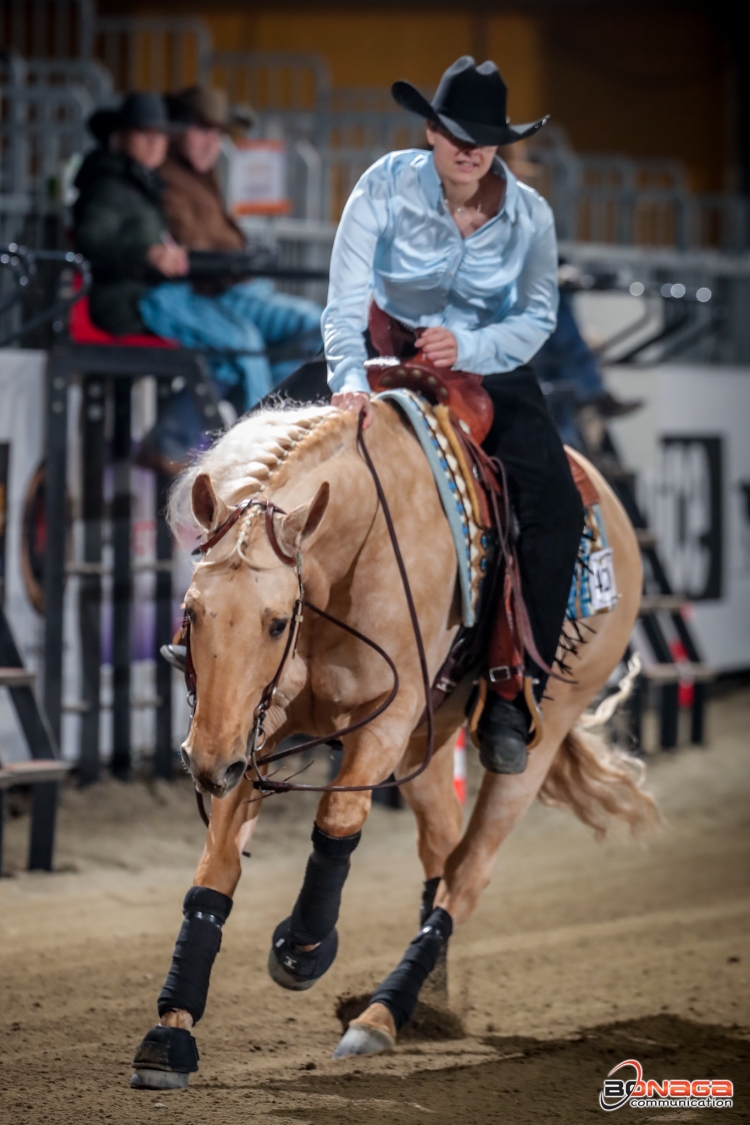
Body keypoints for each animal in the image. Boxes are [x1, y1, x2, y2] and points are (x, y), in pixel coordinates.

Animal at [130, 400, 656, 1084]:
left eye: (277, 622)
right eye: (192, 612)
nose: (206, 762)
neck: (355, 557)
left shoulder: (380, 722)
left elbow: (337, 820)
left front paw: (302, 950)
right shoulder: (253, 728)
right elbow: (214, 868)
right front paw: (170, 1035)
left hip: (538, 735)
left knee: (469, 872)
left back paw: (381, 1016)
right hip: (423, 744)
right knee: (442, 849)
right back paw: (428, 1005)